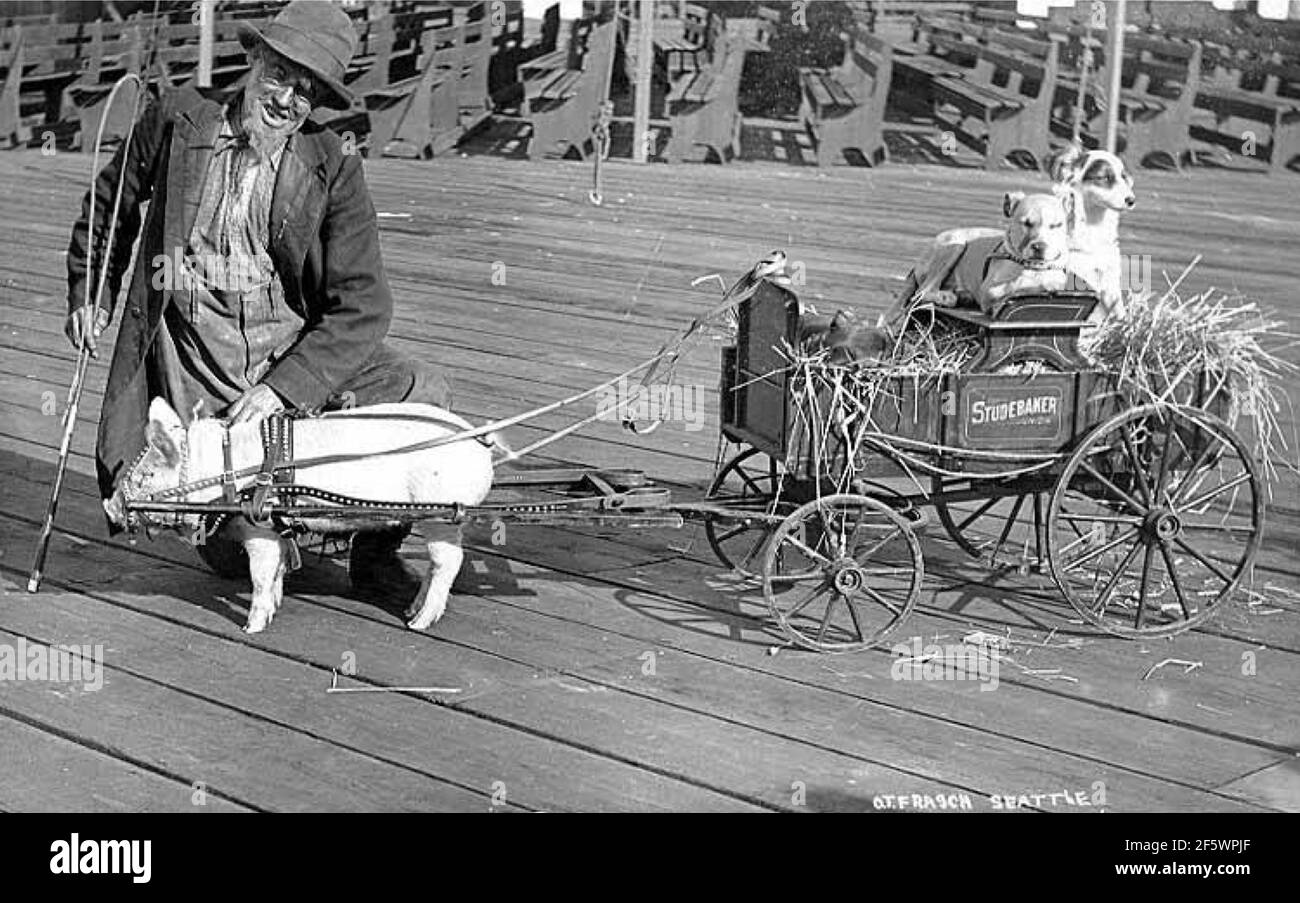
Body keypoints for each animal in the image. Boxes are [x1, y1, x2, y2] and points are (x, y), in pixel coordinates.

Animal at [102, 394, 491, 636]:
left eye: (147, 476)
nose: (110, 504)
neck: (224, 474)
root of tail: (481, 446)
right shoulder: (276, 532)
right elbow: (276, 572)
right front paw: (275, 604)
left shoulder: (258, 529)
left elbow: (259, 576)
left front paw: (251, 628)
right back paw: (411, 611)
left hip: (441, 517)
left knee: (448, 563)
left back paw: (417, 623)